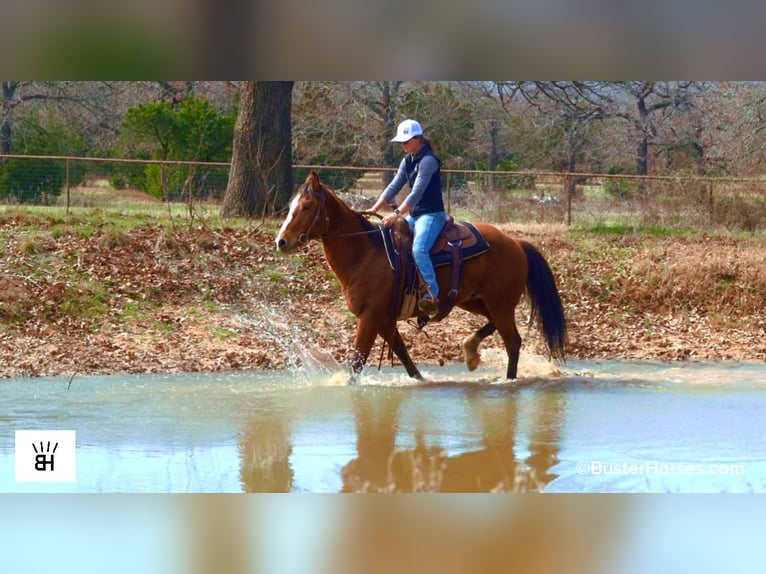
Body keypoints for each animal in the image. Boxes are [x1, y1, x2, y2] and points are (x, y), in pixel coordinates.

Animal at [275, 171, 567, 381]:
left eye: (307, 206)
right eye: (291, 204)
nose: (282, 241)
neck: (366, 253)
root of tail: (516, 242)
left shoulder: (370, 318)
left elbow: (357, 363)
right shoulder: (384, 321)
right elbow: (405, 359)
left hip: (500, 303)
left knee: (513, 342)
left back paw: (507, 379)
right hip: (474, 301)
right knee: (495, 326)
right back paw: (470, 351)